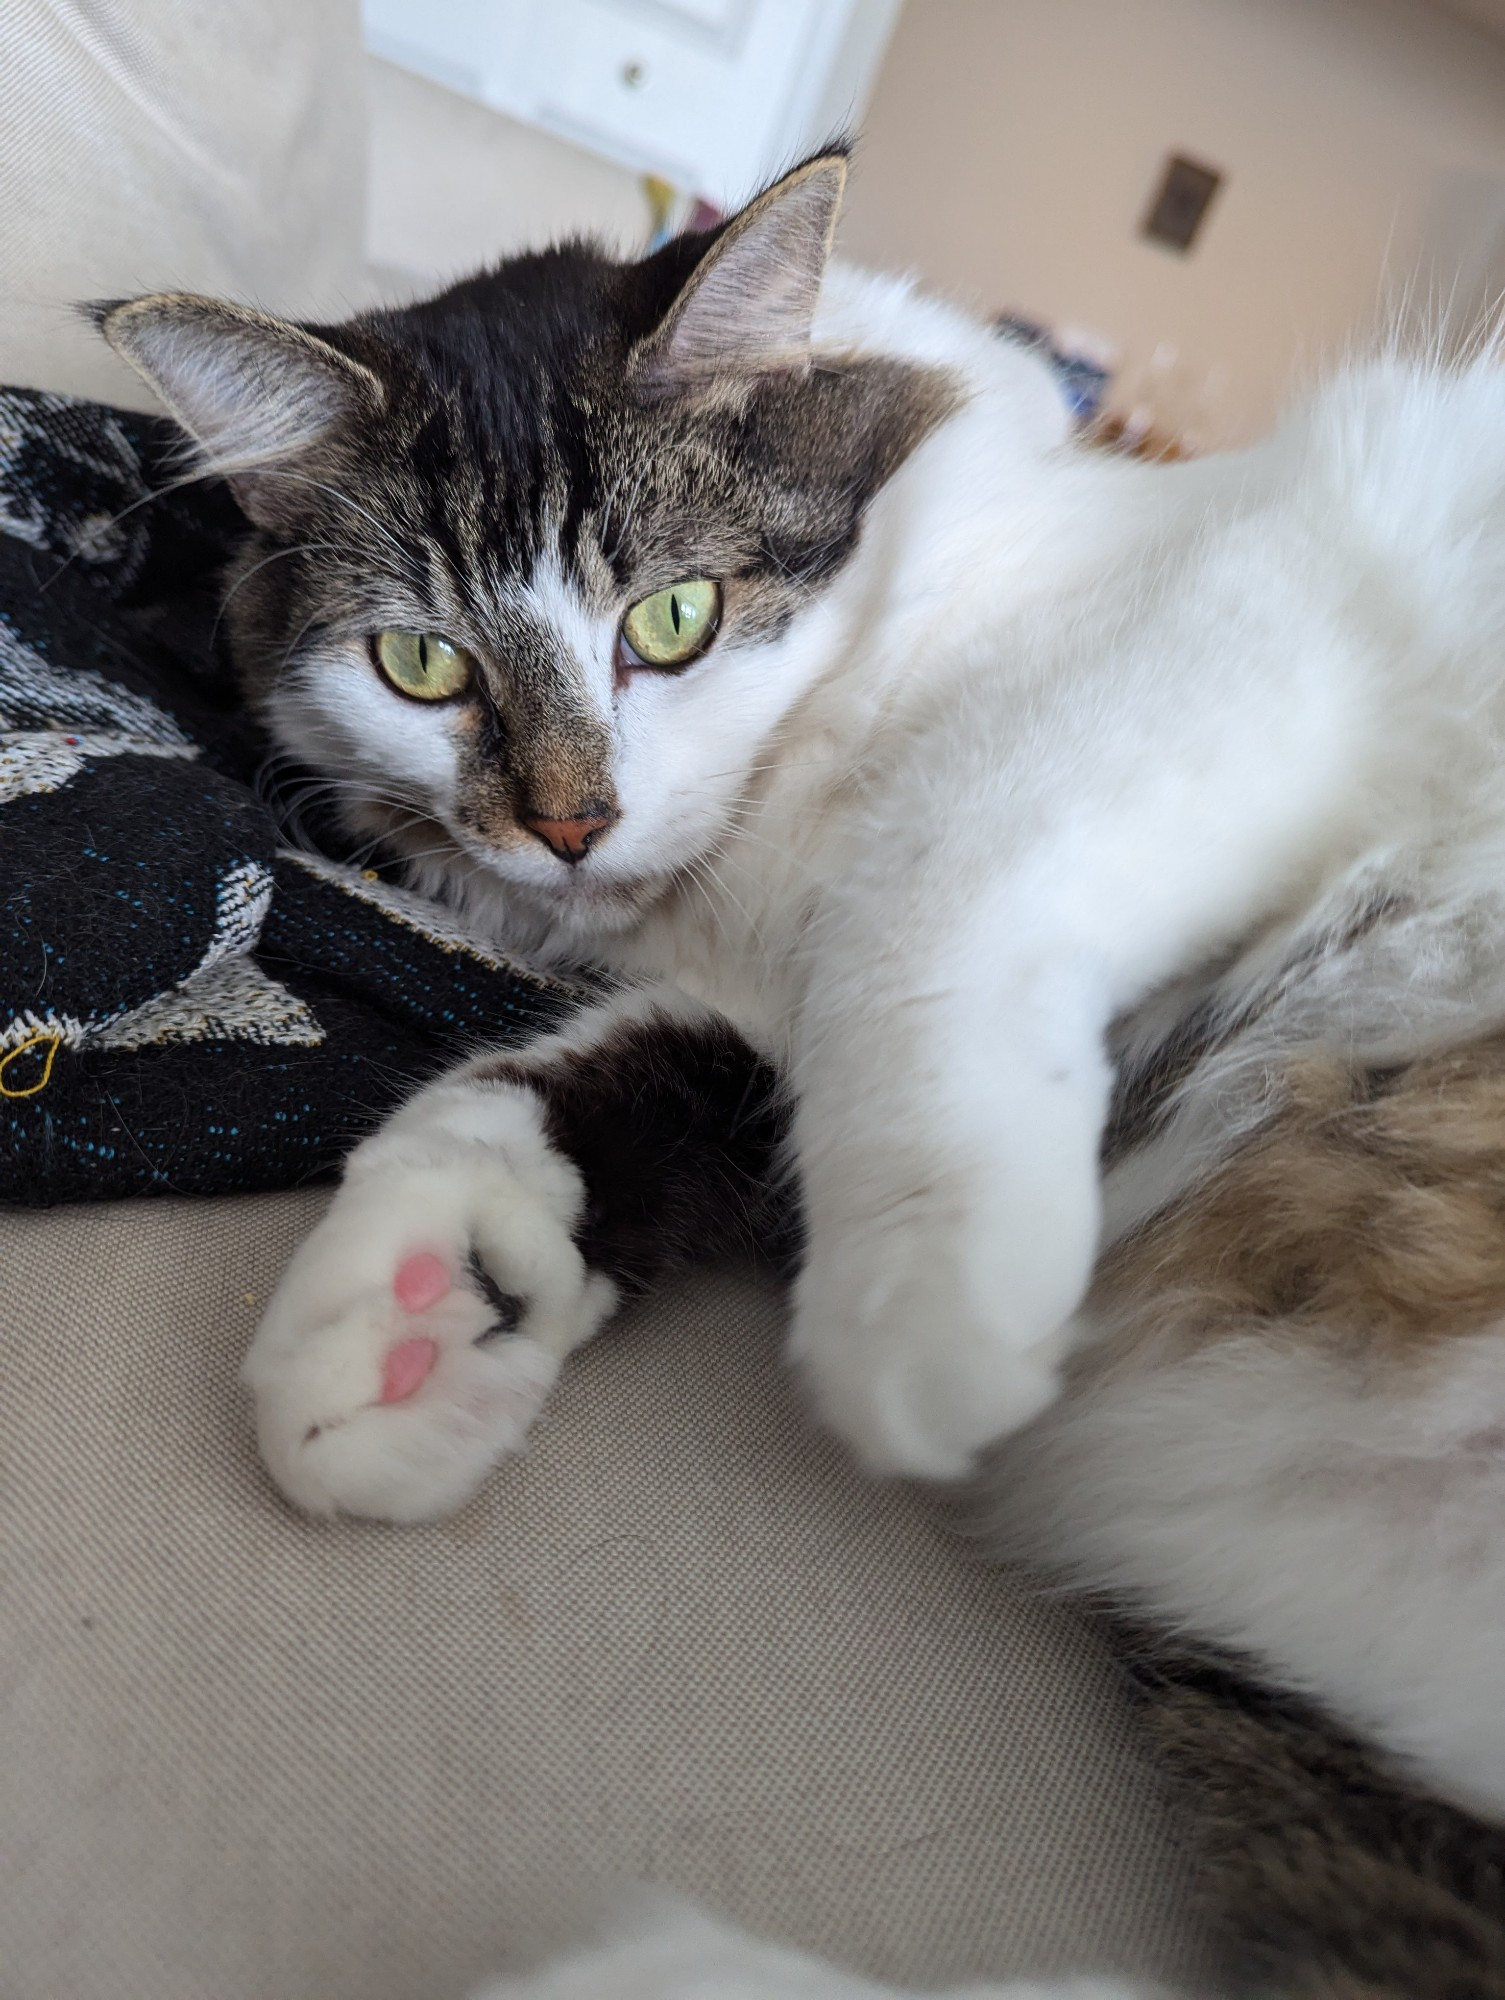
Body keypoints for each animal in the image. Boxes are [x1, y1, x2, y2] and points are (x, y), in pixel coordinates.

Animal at [103, 148, 1505, 1992]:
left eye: (675, 618)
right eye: (423, 665)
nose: (570, 825)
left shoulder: (1248, 604)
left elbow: (938, 880)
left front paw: (927, 1319)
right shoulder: (734, 1006)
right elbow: (528, 1102)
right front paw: (407, 1322)